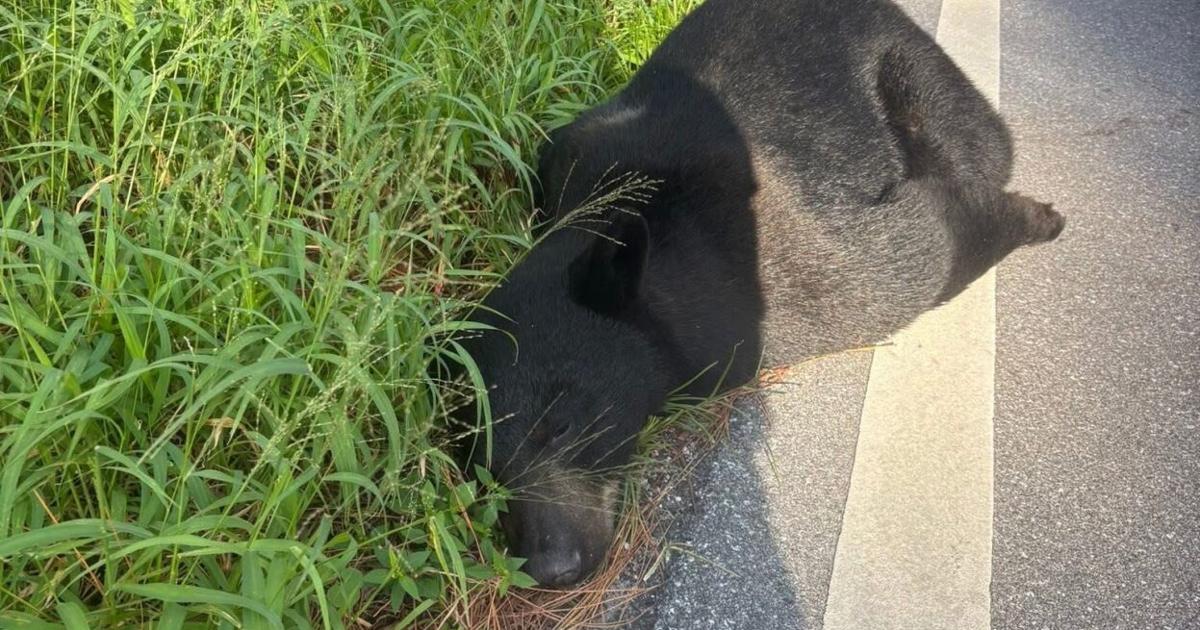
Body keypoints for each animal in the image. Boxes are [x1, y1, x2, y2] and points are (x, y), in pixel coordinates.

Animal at [454, 0, 1064, 587]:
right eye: (483, 466)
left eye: (559, 424)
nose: (551, 566)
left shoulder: (778, 259)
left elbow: (919, 249)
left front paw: (1036, 217)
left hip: (907, 68)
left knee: (978, 140)